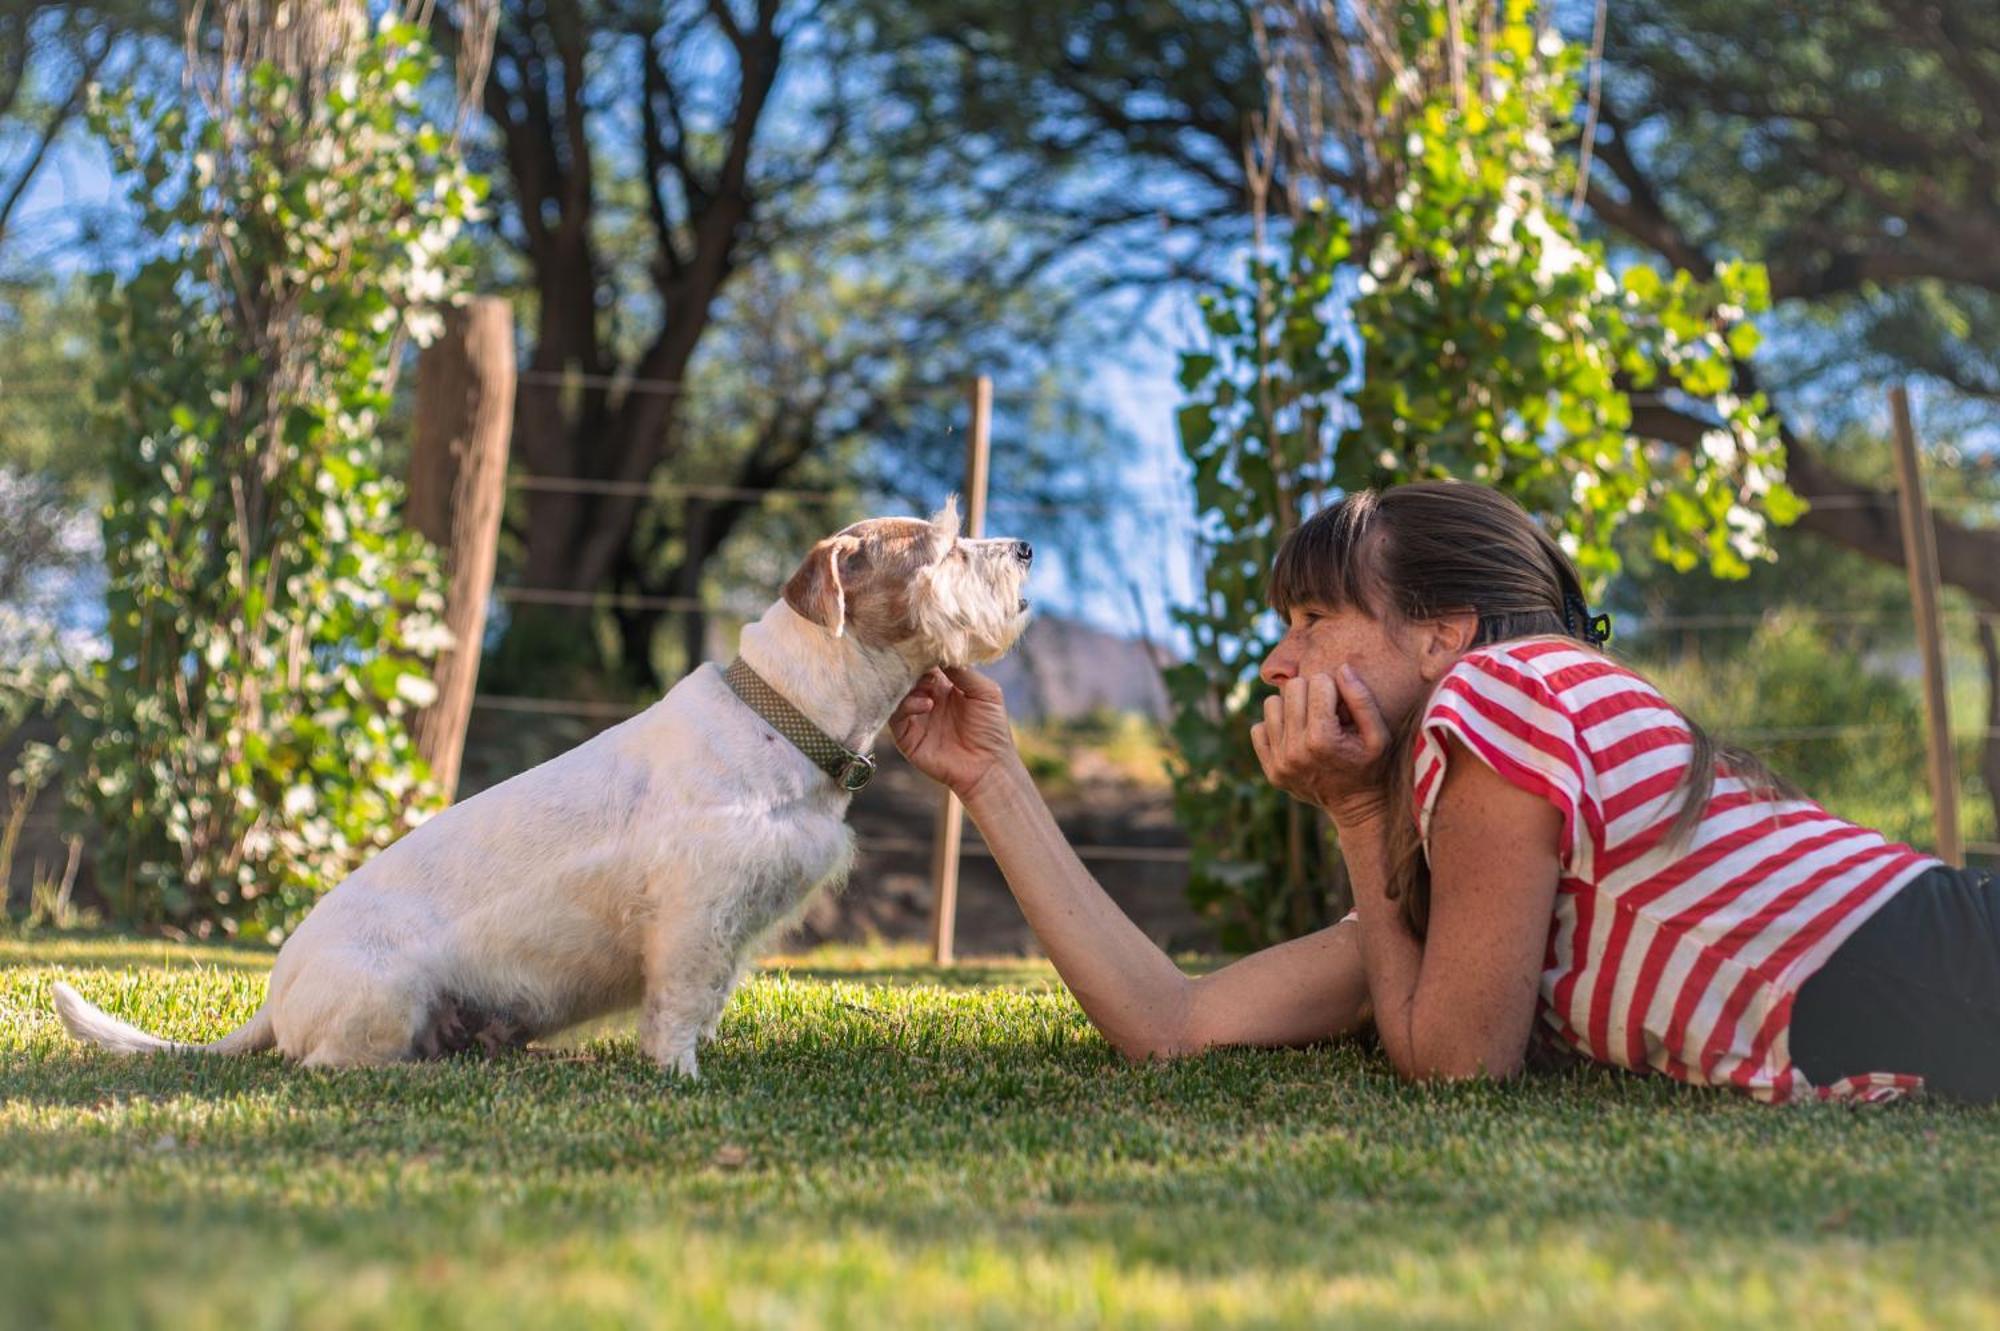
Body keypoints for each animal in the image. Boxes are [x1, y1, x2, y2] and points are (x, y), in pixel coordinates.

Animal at [54, 497, 1032, 1071]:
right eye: (945, 547)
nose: (1024, 546)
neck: (788, 713)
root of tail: (272, 998)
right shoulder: (692, 916)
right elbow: (678, 1008)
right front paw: (679, 1076)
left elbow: (709, 997)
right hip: (381, 1008)